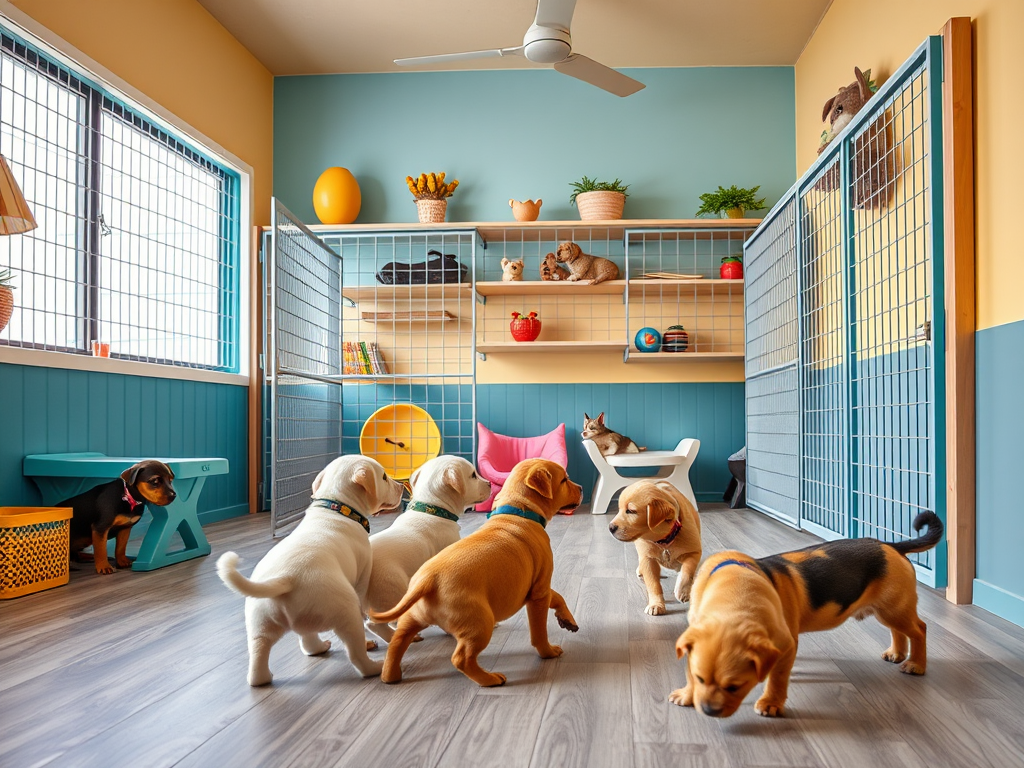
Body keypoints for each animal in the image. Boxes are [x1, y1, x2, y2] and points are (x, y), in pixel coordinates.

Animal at [218, 454, 401, 688]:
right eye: (384, 477)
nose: (401, 487)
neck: (336, 506)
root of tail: (286, 579)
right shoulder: (362, 575)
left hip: (261, 623)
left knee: (271, 649)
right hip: (345, 612)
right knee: (355, 653)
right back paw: (374, 665)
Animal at [606, 481, 704, 618]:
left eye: (631, 511)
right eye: (619, 509)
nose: (610, 528)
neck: (663, 541)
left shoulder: (694, 551)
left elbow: (687, 570)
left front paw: (682, 591)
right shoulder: (648, 559)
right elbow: (654, 585)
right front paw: (656, 604)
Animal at [671, 512, 942, 720]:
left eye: (735, 687)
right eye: (700, 678)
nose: (709, 711)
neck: (734, 590)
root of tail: (890, 545)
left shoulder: (786, 645)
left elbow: (778, 678)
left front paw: (770, 704)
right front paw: (686, 694)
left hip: (894, 609)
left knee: (919, 629)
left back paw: (916, 664)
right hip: (888, 610)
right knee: (900, 631)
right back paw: (896, 654)